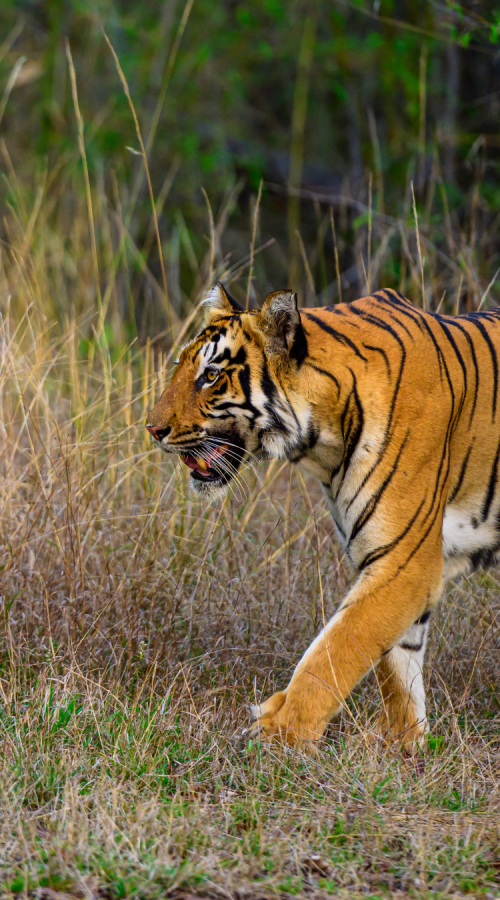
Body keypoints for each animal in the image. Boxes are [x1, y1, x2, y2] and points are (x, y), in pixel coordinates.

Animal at [146, 281, 500, 751]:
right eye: (182, 369)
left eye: (210, 375)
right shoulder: (389, 557)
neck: (323, 445)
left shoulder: (405, 562)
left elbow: (336, 648)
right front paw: (401, 744)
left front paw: (280, 733)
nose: (152, 429)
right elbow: (397, 664)